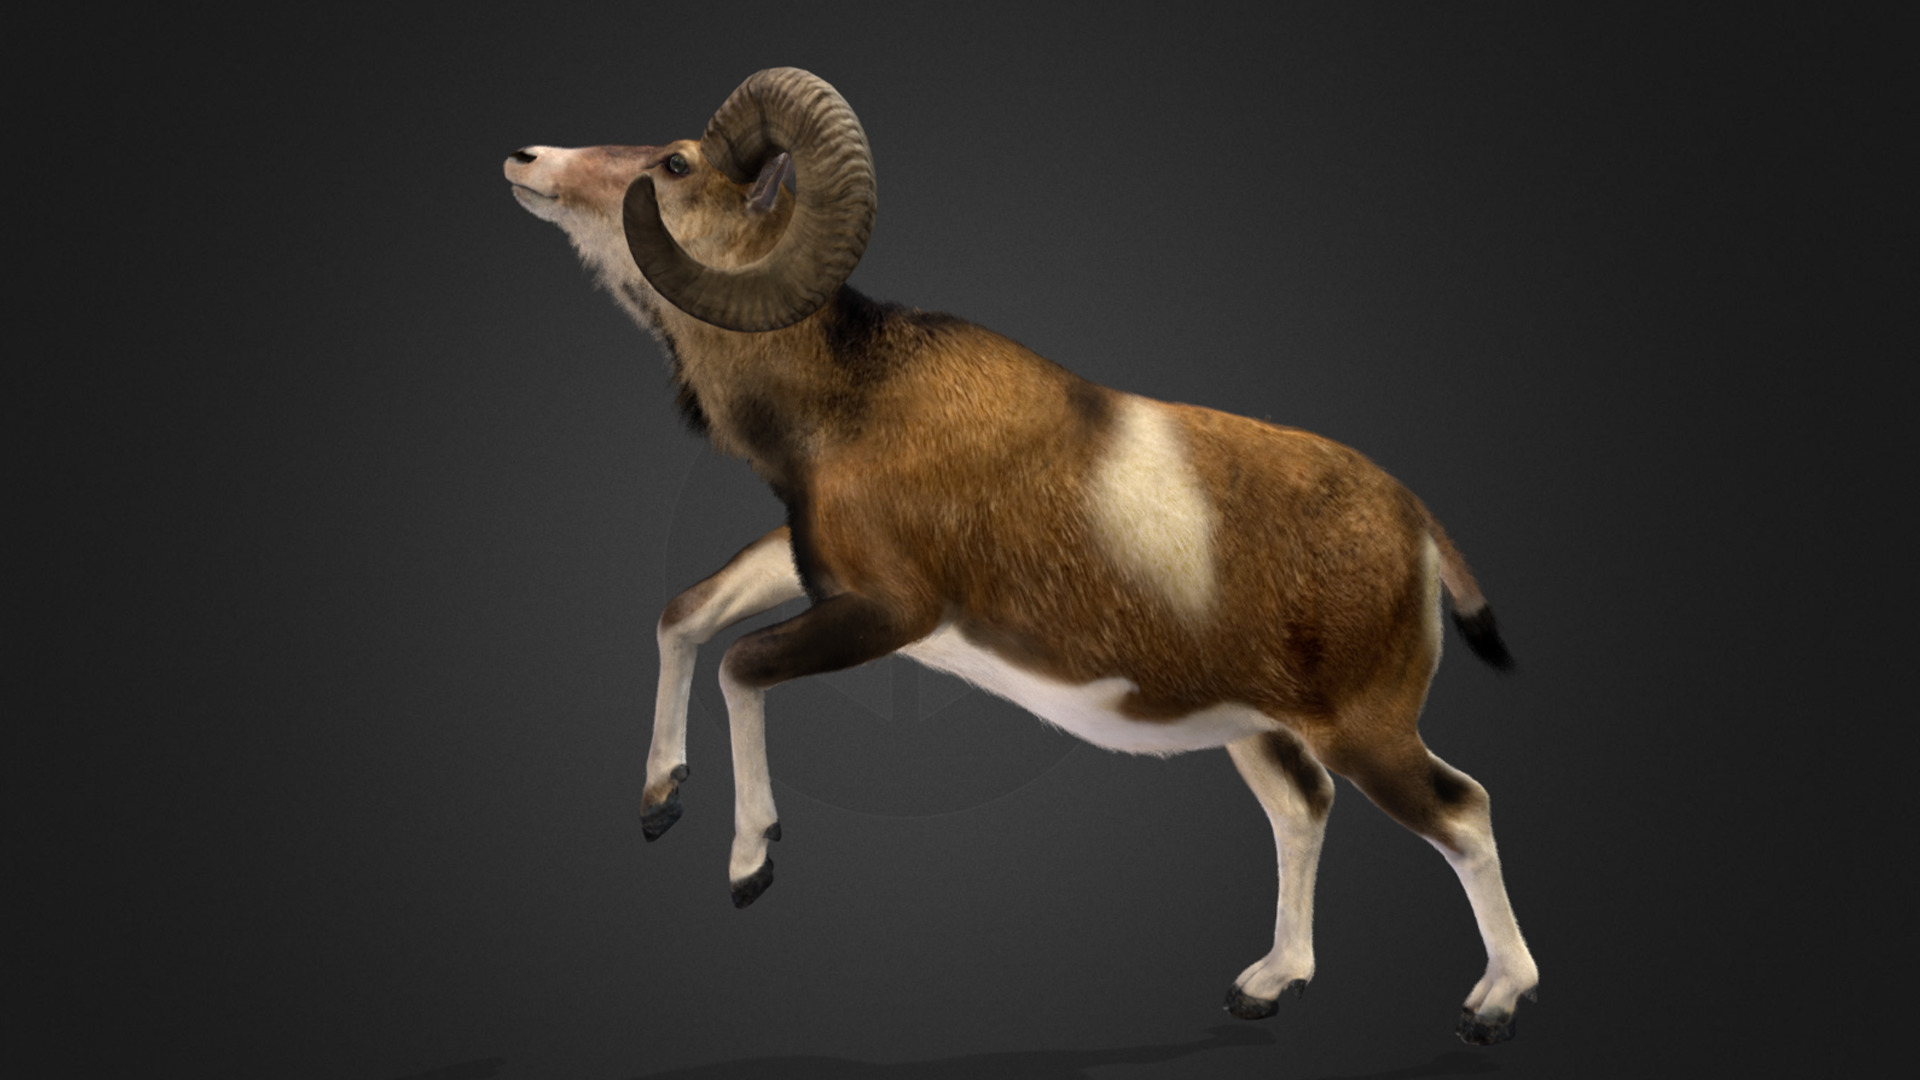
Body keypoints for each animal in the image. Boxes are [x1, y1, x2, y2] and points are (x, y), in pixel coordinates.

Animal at [503, 67, 1539, 1044]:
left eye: (676, 164)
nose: (526, 159)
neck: (846, 394)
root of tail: (1414, 527)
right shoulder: (811, 574)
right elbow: (686, 615)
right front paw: (658, 800)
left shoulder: (888, 614)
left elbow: (741, 665)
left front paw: (750, 862)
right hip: (1261, 731)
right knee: (1302, 808)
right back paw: (1267, 987)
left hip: (1368, 733)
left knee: (1464, 812)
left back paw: (1492, 1007)